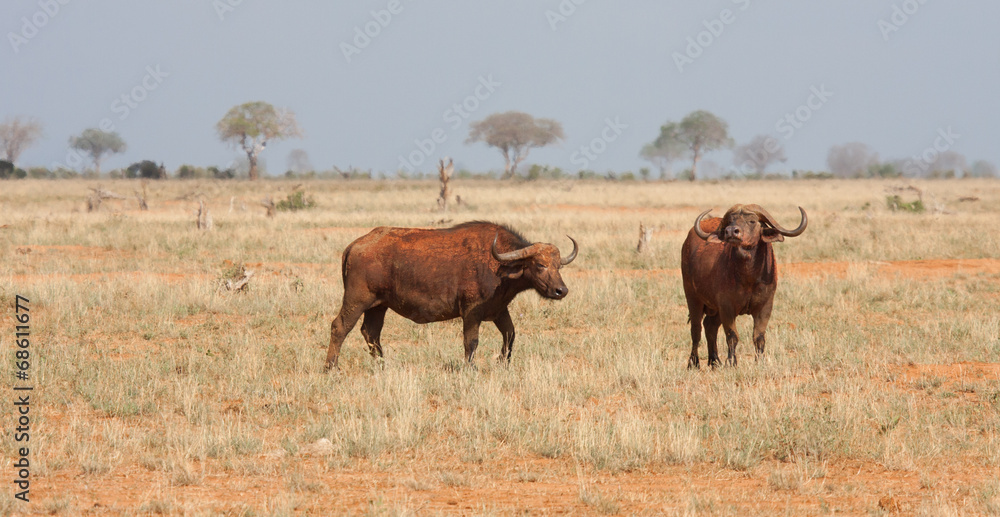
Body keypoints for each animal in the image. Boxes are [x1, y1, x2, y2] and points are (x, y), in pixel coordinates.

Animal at [326, 220, 580, 368]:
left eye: (558, 265)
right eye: (540, 265)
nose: (561, 290)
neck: (498, 266)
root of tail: (355, 246)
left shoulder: (499, 311)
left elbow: (510, 335)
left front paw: (503, 362)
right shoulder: (471, 314)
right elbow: (471, 342)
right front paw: (470, 368)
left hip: (378, 306)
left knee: (371, 332)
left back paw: (382, 364)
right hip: (357, 301)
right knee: (340, 327)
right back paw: (331, 366)